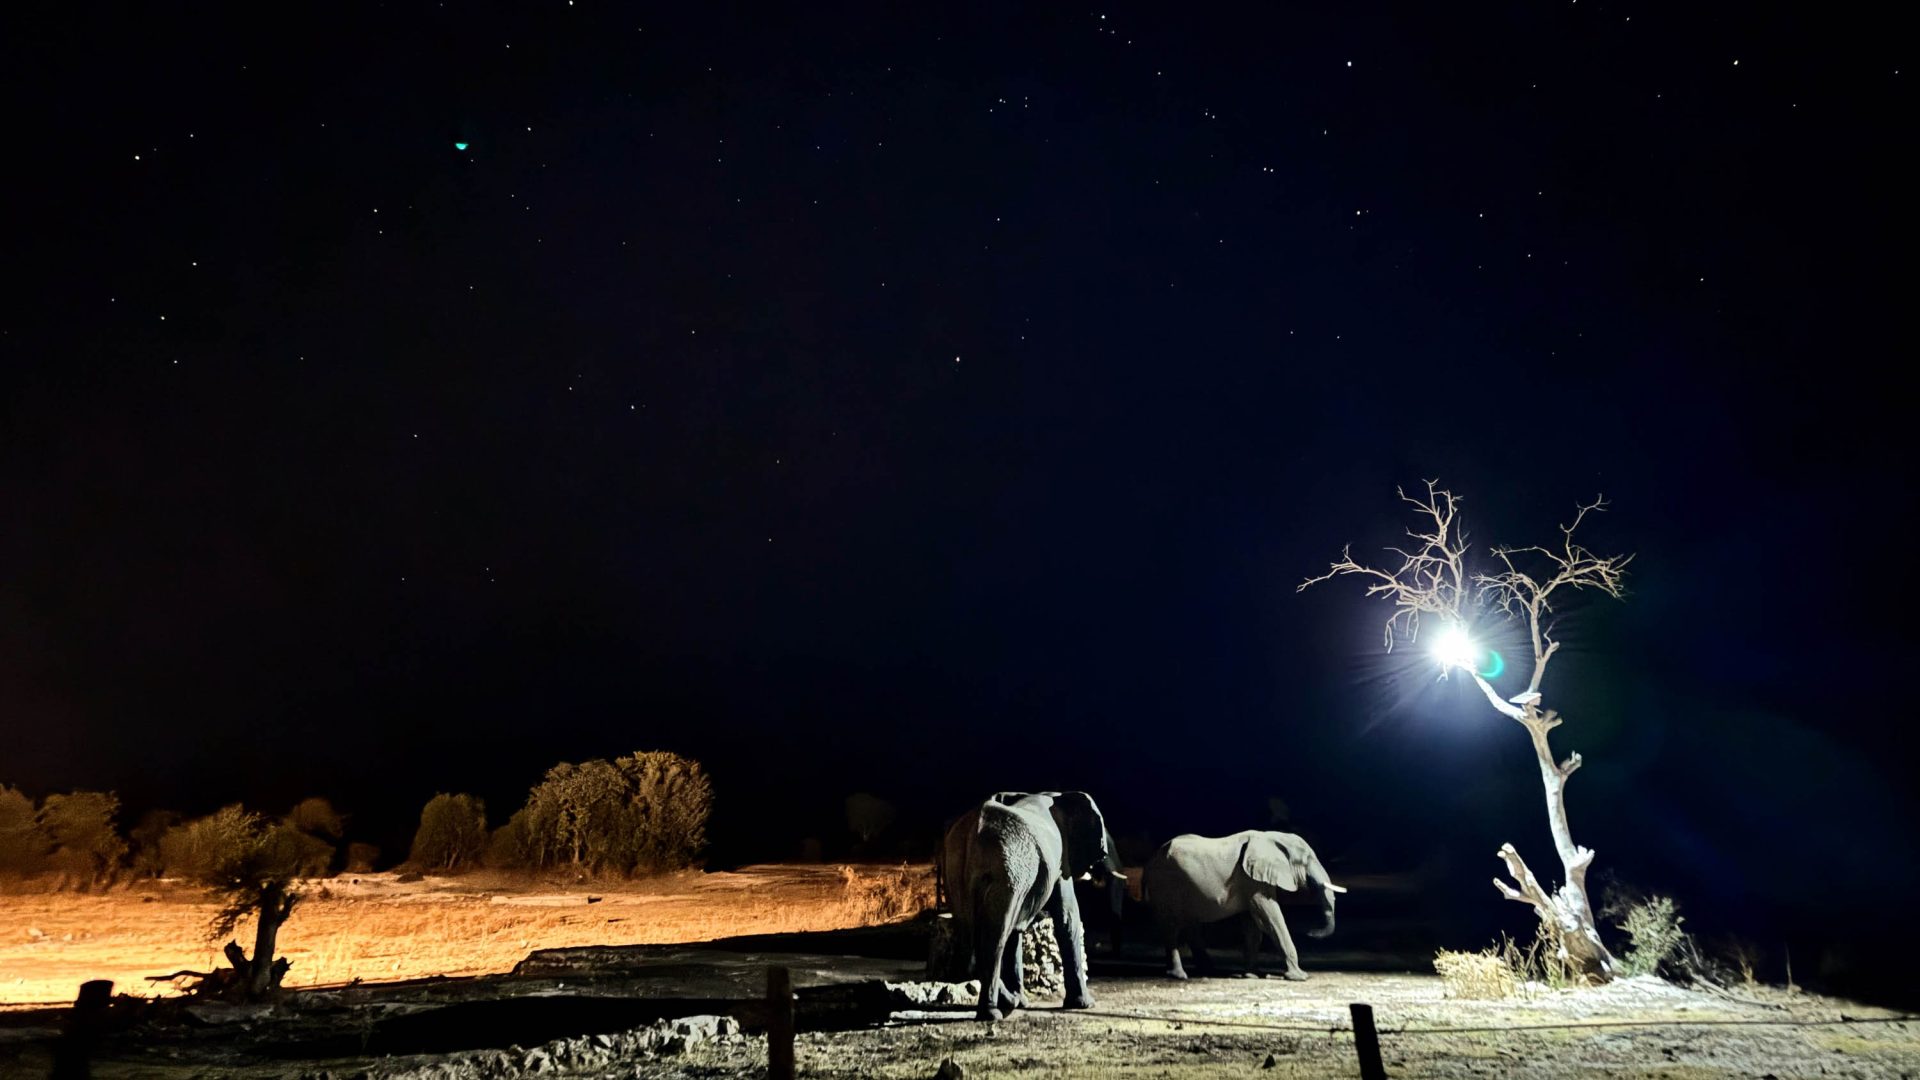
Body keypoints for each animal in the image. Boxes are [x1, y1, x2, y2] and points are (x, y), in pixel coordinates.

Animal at [938, 791, 1112, 1021]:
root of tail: (973, 830)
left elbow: (1017, 931)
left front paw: (1021, 1002)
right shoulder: (1060, 861)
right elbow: (1067, 918)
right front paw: (1085, 1005)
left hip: (960, 872)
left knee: (973, 941)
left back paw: (1008, 1003)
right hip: (1006, 873)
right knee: (996, 938)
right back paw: (996, 1012)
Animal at [1143, 830, 1346, 981]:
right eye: (1306, 861)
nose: (1311, 933)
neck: (1275, 838)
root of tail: (1151, 859)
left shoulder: (1252, 880)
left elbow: (1253, 925)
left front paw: (1251, 975)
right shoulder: (1252, 881)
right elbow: (1270, 918)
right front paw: (1300, 977)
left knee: (1189, 925)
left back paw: (1207, 971)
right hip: (1166, 884)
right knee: (1172, 926)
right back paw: (1179, 975)